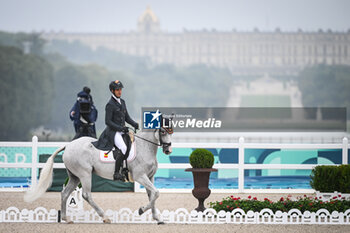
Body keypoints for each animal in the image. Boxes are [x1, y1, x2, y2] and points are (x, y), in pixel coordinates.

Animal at [23, 128, 173, 225]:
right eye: (163, 132)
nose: (168, 150)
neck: (144, 147)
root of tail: (69, 145)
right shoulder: (140, 176)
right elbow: (156, 193)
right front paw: (141, 210)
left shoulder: (150, 177)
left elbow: (152, 195)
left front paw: (158, 218)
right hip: (85, 174)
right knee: (86, 195)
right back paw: (105, 217)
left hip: (75, 177)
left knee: (65, 193)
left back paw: (66, 219)